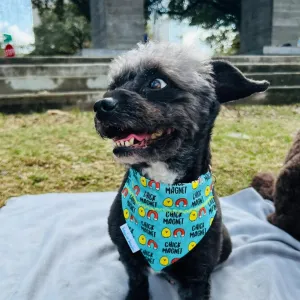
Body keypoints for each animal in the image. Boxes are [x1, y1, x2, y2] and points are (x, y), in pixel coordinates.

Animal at [94, 42, 270, 300]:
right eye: (114, 85)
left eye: (157, 83)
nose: (100, 106)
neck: (165, 188)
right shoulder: (130, 260)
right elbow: (136, 281)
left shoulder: (197, 277)